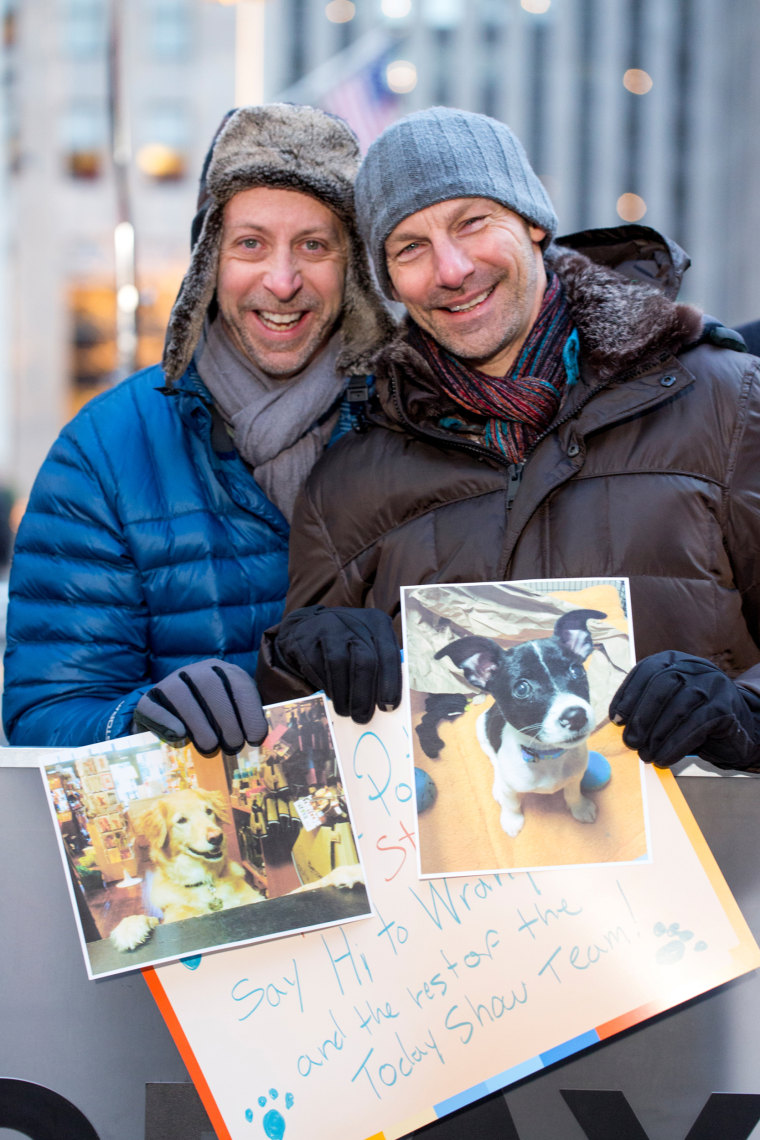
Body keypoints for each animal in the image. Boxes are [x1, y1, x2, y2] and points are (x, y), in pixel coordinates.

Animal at [432, 606, 606, 839]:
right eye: (522, 689)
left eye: (576, 670)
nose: (575, 716)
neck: (547, 755)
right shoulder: (511, 788)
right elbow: (511, 803)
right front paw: (511, 820)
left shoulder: (575, 775)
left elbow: (572, 791)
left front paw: (580, 807)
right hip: (481, 732)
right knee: (494, 761)